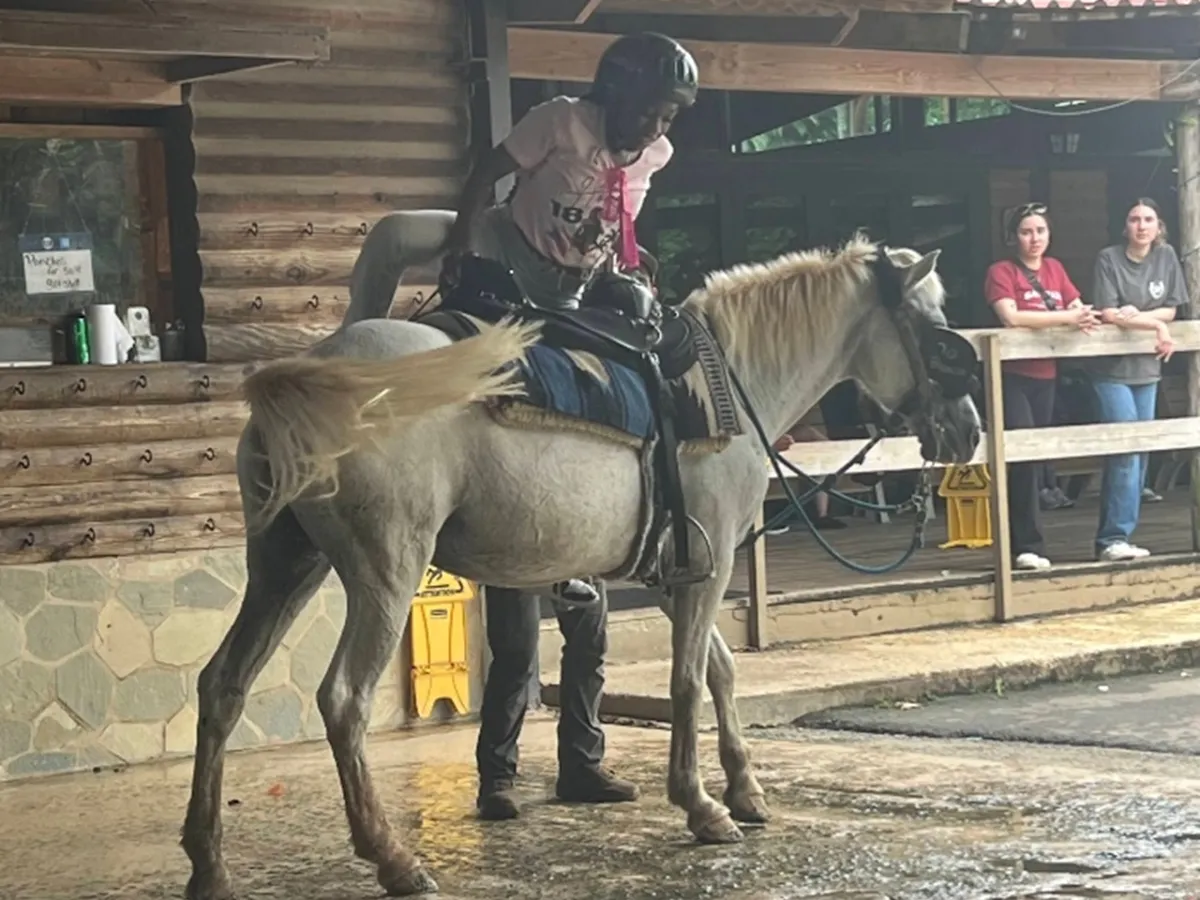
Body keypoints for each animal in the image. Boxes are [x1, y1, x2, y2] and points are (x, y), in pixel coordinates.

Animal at [180, 212, 982, 900]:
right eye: (937, 331)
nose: (969, 432)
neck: (727, 382)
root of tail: (320, 370)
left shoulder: (677, 568)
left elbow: (719, 670)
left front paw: (746, 790)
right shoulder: (711, 564)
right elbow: (688, 680)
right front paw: (702, 806)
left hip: (285, 563)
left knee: (223, 685)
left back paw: (207, 864)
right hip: (385, 571)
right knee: (343, 699)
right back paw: (394, 859)